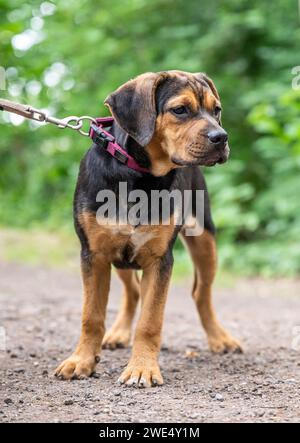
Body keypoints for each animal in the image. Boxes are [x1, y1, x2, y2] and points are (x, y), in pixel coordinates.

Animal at [55, 70, 243, 388]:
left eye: (216, 110)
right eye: (180, 110)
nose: (222, 137)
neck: (138, 175)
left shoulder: (159, 259)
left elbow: (150, 321)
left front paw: (142, 368)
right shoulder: (94, 253)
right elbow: (91, 315)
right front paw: (81, 361)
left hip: (205, 241)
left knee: (201, 294)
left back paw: (220, 338)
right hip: (119, 256)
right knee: (132, 292)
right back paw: (118, 334)